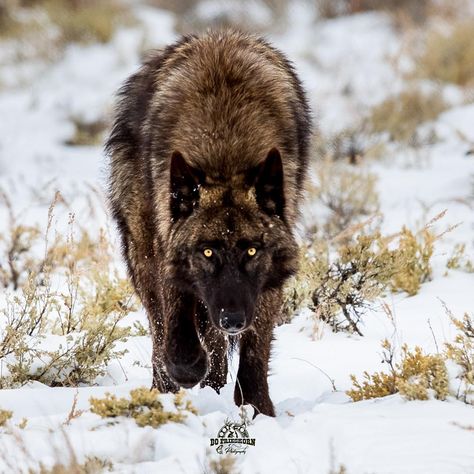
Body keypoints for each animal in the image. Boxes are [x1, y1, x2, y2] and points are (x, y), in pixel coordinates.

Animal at [105, 29, 312, 416]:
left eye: (251, 250)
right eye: (206, 252)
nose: (232, 319)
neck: (225, 150)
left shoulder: (265, 281)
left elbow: (256, 348)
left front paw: (257, 409)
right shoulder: (168, 250)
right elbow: (176, 322)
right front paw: (185, 367)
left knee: (215, 345)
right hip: (142, 256)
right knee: (161, 331)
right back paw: (164, 390)